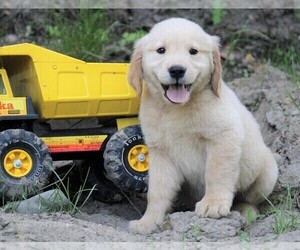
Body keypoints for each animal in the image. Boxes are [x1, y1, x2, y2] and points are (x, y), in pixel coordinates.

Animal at [127, 18, 278, 234]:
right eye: (161, 50)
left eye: (193, 51)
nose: (177, 70)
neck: (177, 109)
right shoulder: (160, 152)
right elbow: (157, 191)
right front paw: (148, 221)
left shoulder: (223, 137)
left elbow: (216, 172)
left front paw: (213, 204)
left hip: (267, 173)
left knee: (251, 199)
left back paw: (244, 211)